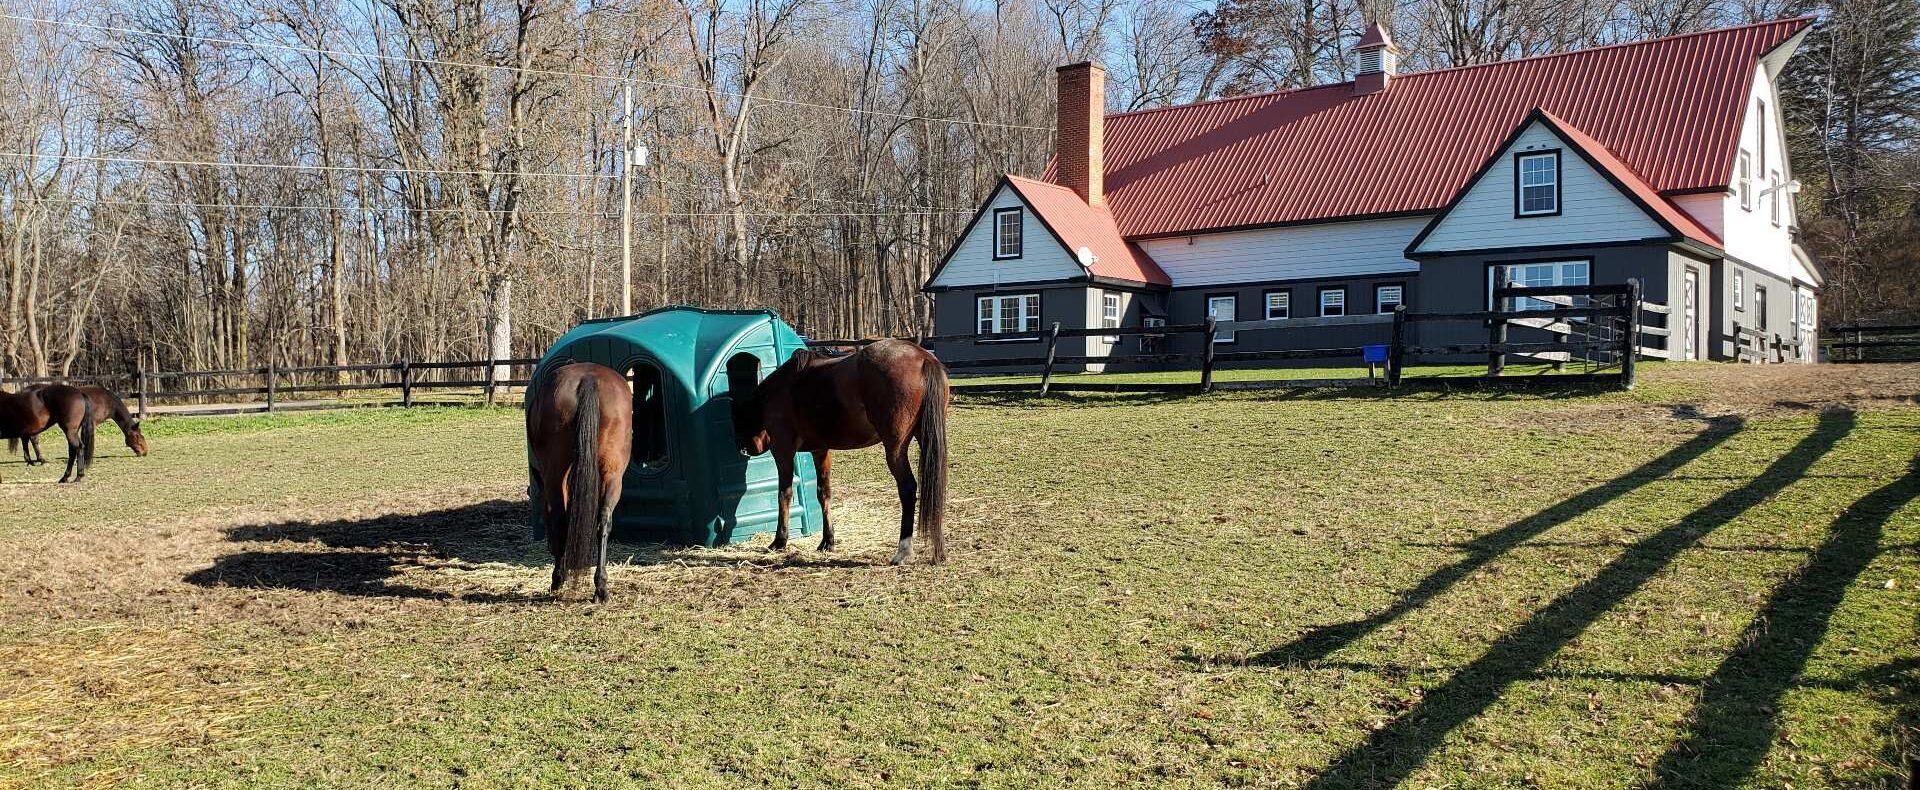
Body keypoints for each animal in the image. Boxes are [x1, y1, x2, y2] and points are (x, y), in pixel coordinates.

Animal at [13, 384, 146, 464]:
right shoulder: (92, 423)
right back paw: (39, 459)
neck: (107, 401)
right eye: (138, 437)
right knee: (32, 439)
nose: (145, 452)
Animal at [525, 362, 633, 603]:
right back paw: (600, 586)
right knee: (603, 520)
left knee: (561, 517)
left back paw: (559, 578)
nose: (548, 545)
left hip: (556, 475)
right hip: (613, 474)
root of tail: (588, 379)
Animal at [730, 339, 950, 565]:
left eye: (737, 421)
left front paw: (780, 541)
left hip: (895, 449)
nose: (743, 448)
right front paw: (828, 541)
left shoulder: (783, 451)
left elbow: (785, 493)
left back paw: (902, 551)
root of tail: (922, 357)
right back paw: (938, 549)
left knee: (907, 489)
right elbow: (823, 493)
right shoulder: (820, 451)